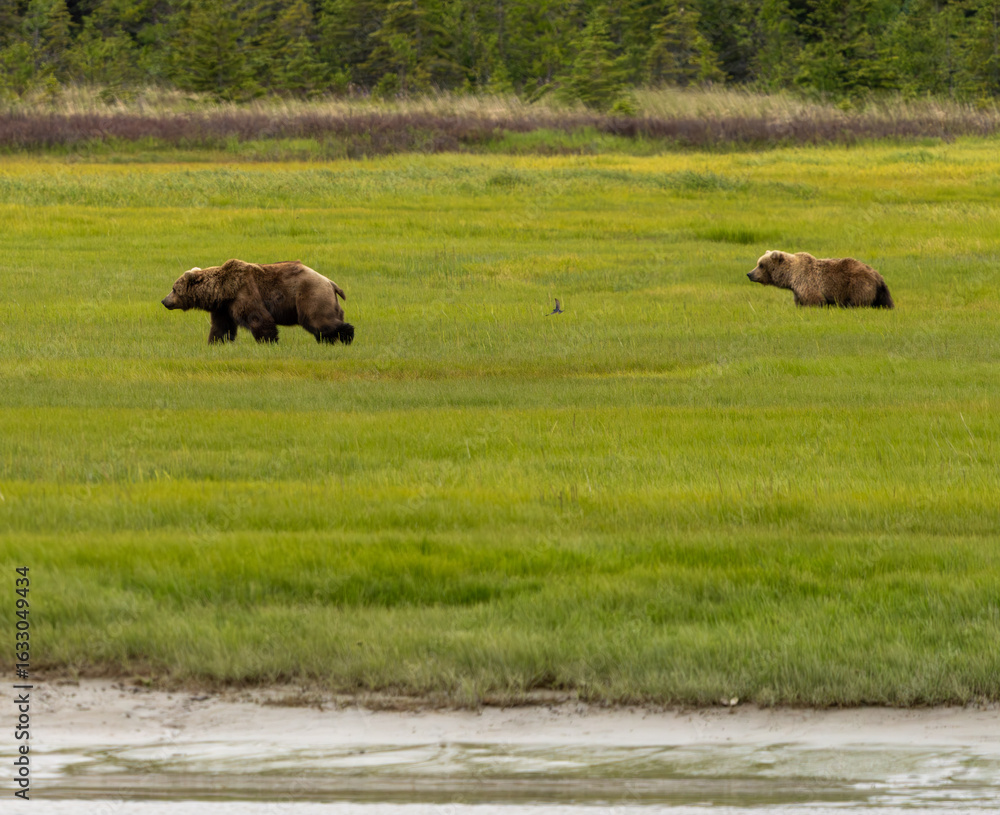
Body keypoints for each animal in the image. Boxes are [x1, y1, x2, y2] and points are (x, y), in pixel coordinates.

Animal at [161, 259, 354, 344]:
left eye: (174, 288)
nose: (164, 301)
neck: (224, 291)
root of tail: (330, 282)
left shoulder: (245, 293)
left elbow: (258, 318)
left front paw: (268, 341)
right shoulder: (224, 308)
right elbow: (221, 327)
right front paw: (215, 342)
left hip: (310, 294)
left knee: (318, 319)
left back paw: (346, 336)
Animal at [746, 250, 894, 309]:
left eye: (761, 265)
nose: (749, 274)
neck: (791, 276)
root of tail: (877, 275)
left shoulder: (807, 283)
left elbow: (814, 300)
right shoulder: (797, 290)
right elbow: (800, 302)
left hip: (857, 285)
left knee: (856, 302)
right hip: (880, 292)